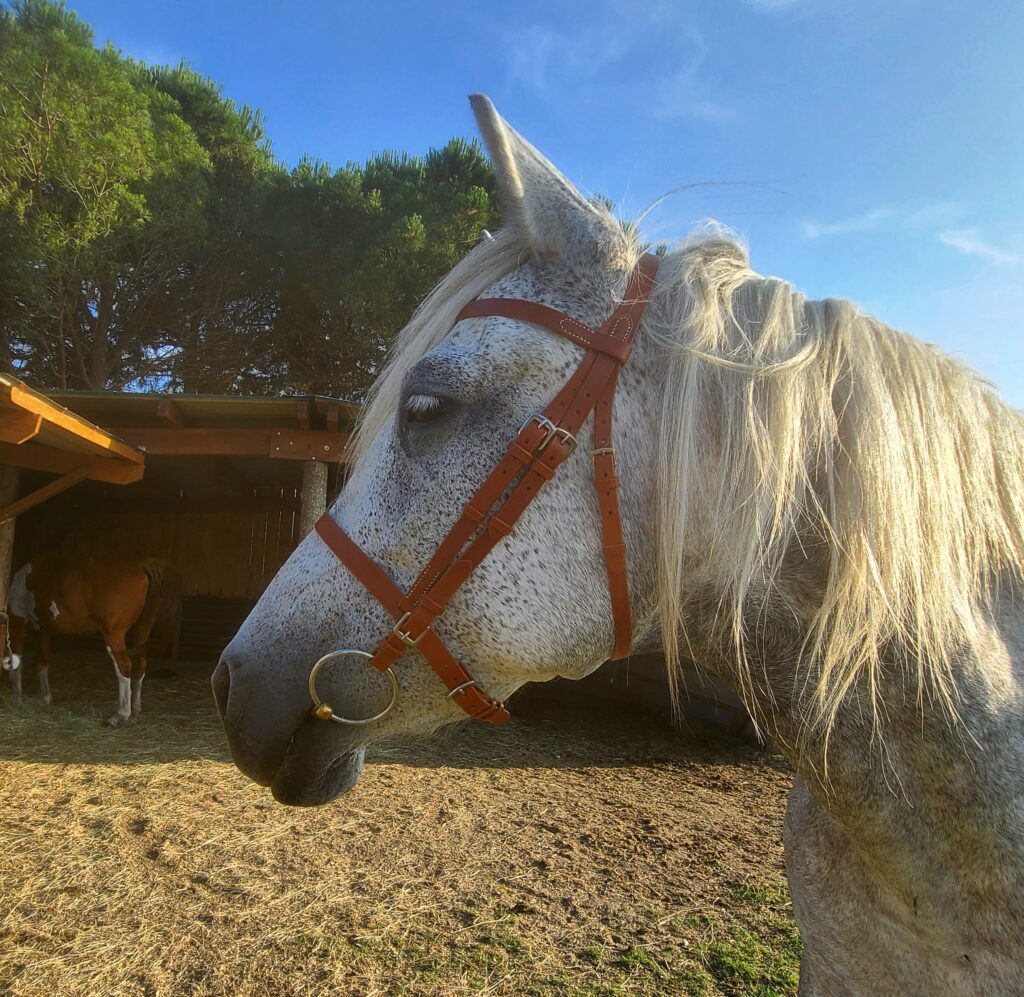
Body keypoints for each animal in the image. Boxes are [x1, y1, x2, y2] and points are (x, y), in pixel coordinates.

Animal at [5, 552, 182, 725]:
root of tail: (141, 565)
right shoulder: (44, 632)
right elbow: (41, 665)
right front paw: (45, 698)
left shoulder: (16, 626)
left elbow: (17, 664)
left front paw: (16, 699)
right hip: (140, 632)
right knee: (140, 665)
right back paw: (136, 709)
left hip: (113, 635)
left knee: (124, 667)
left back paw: (120, 715)